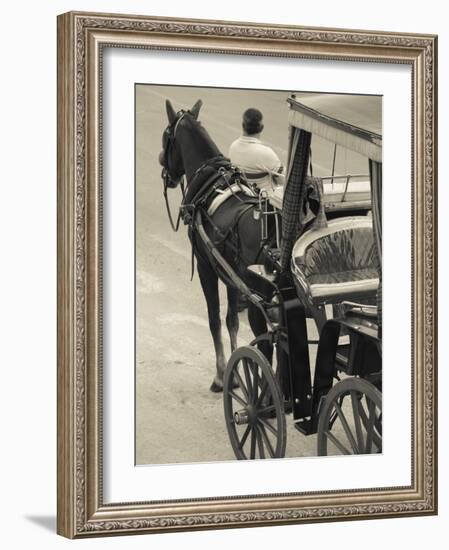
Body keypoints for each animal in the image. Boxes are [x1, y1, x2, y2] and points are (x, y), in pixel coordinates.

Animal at [160, 99, 272, 392]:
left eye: (166, 136)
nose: (163, 166)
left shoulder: (205, 266)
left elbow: (214, 320)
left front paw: (222, 376)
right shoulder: (232, 275)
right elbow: (232, 320)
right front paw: (236, 372)